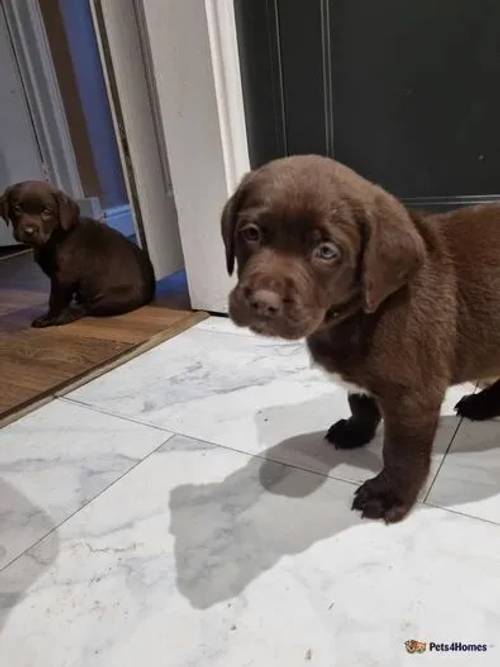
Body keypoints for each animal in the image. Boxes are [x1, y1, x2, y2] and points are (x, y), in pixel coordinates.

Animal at [0, 181, 155, 328]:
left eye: (46, 211)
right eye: (17, 209)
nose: (29, 231)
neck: (55, 236)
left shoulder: (63, 277)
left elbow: (54, 300)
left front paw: (49, 318)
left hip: (115, 296)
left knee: (86, 308)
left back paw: (66, 316)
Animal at [223, 155, 500, 520]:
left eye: (327, 251)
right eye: (251, 233)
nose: (262, 302)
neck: (352, 316)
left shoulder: (413, 398)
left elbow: (401, 452)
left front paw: (389, 494)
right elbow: (360, 402)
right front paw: (356, 431)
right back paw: (483, 405)